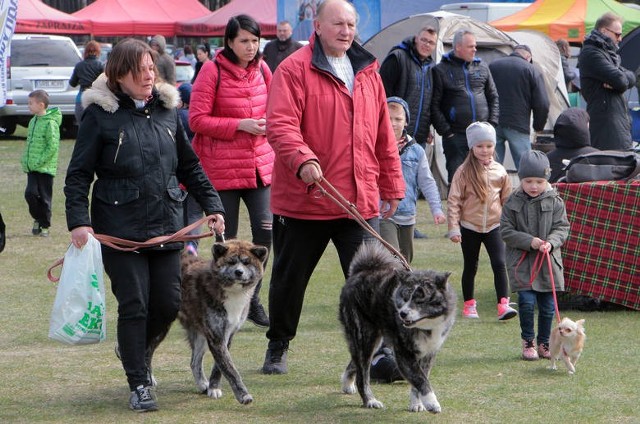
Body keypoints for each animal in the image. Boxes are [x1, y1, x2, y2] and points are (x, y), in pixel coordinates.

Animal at [178, 242, 268, 404]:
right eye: (231, 262)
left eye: (246, 262)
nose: (239, 272)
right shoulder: (216, 336)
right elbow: (230, 369)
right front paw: (243, 395)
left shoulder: (227, 334)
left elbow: (219, 367)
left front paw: (213, 388)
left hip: (200, 333)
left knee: (194, 362)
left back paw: (202, 384)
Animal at [340, 243, 456, 412]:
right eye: (405, 298)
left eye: (420, 301)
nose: (402, 313)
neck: (425, 326)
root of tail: (360, 272)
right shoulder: (403, 354)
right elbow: (420, 379)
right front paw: (432, 402)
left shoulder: (428, 352)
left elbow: (419, 379)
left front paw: (416, 404)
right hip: (365, 336)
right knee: (363, 373)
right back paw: (370, 400)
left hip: (371, 341)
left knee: (356, 362)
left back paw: (347, 383)